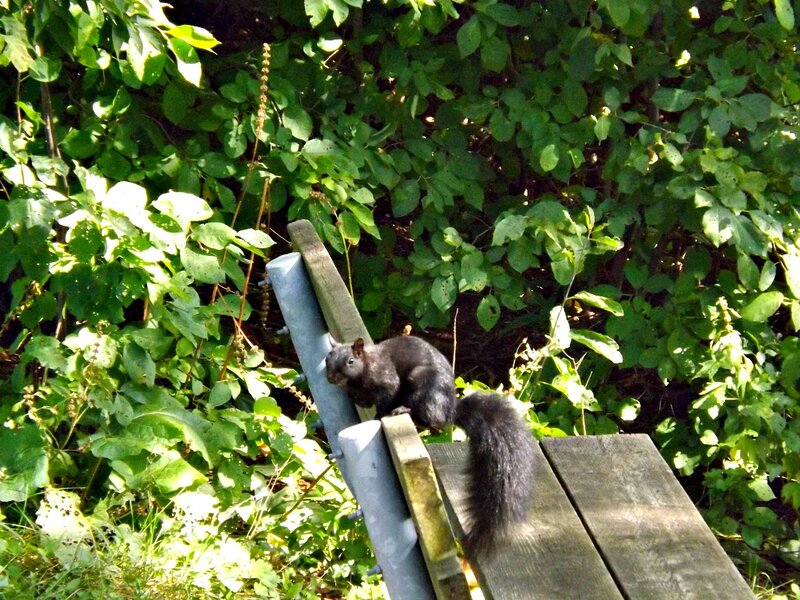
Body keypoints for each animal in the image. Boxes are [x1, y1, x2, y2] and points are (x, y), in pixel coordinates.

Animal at [325, 334, 535, 556]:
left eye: (350, 361)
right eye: (328, 358)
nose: (331, 377)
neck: (360, 374)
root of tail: (450, 409)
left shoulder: (386, 379)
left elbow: (386, 397)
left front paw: (378, 414)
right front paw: (361, 401)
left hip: (423, 386)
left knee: (434, 420)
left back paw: (404, 410)